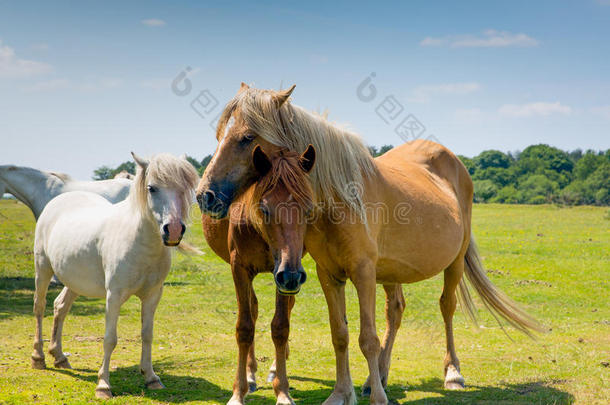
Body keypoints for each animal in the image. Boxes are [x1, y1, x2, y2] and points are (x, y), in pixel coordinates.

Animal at [30, 153, 197, 400]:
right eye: (152, 188)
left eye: (184, 188)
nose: (174, 230)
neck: (139, 241)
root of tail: (57, 202)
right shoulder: (114, 296)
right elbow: (110, 339)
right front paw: (103, 386)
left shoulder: (153, 296)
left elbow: (147, 334)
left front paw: (151, 378)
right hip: (42, 269)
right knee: (39, 308)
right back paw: (38, 358)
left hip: (75, 281)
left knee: (60, 306)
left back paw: (59, 357)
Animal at [200, 144, 314, 402]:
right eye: (264, 208)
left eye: (309, 208)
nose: (292, 275)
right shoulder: (240, 268)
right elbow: (245, 327)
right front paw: (238, 391)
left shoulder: (285, 273)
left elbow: (281, 326)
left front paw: (282, 390)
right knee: (252, 309)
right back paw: (251, 373)